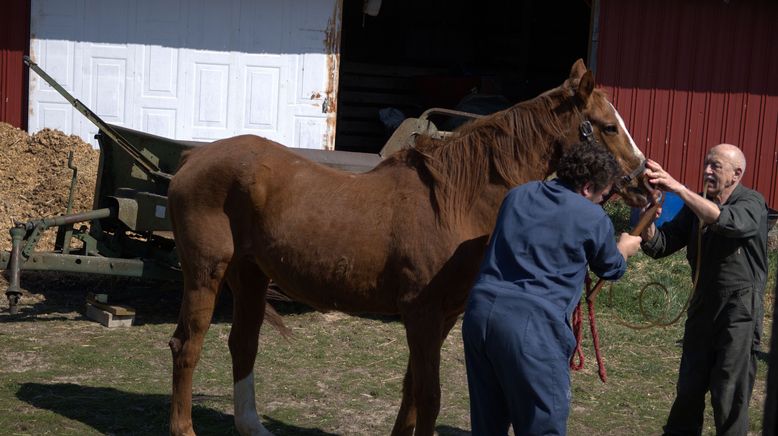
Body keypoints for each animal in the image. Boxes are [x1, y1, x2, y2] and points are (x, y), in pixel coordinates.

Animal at [168, 58, 648, 436]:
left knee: (243, 344)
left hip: (249, 274)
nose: (645, 183)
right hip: (205, 273)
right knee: (186, 346)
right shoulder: (421, 315)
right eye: (608, 126)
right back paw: (184, 427)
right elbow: (428, 395)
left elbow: (411, 391)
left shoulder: (444, 317)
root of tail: (194, 158)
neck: (453, 202)